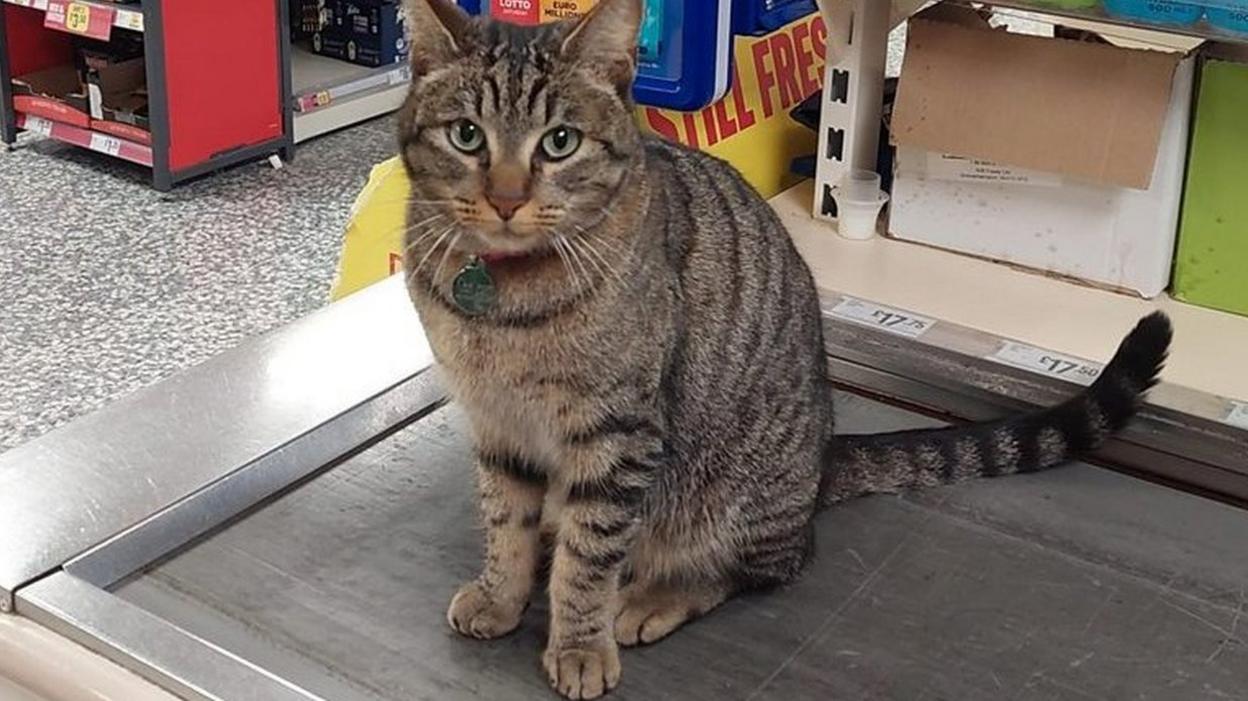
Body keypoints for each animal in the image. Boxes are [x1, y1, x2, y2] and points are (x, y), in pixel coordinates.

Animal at [396, 1, 1168, 693]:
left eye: (559, 142)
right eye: (467, 135)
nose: (505, 199)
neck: (501, 299)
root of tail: (822, 458)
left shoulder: (617, 435)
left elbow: (589, 558)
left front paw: (579, 642)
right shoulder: (497, 424)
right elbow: (506, 520)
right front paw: (502, 592)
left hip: (730, 495)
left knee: (762, 565)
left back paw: (650, 597)